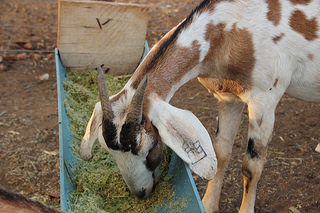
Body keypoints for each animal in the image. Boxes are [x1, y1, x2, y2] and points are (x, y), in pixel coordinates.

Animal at [80, 0, 320, 212]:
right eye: (107, 150)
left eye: (151, 149)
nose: (141, 193)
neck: (233, 29)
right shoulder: (229, 97)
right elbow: (221, 152)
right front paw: (208, 205)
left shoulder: (264, 102)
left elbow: (251, 167)